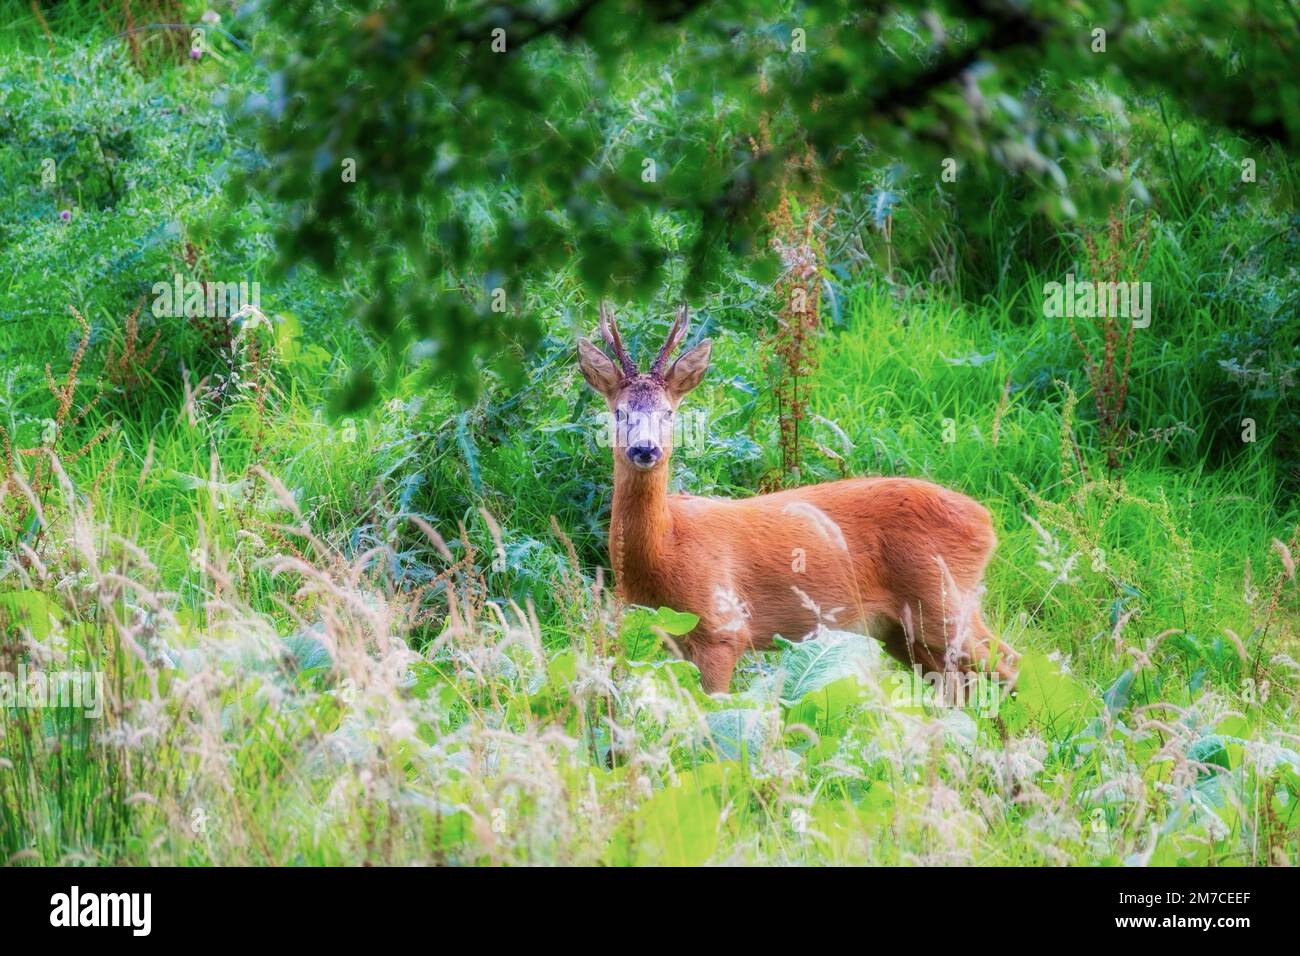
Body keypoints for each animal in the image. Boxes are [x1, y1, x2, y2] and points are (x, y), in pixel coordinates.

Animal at [577, 302, 1019, 694]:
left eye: (669, 412)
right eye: (619, 412)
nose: (645, 449)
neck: (667, 545)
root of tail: (985, 521)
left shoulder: (723, 629)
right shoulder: (675, 638)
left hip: (943, 600)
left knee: (1011, 664)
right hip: (901, 630)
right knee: (958, 688)